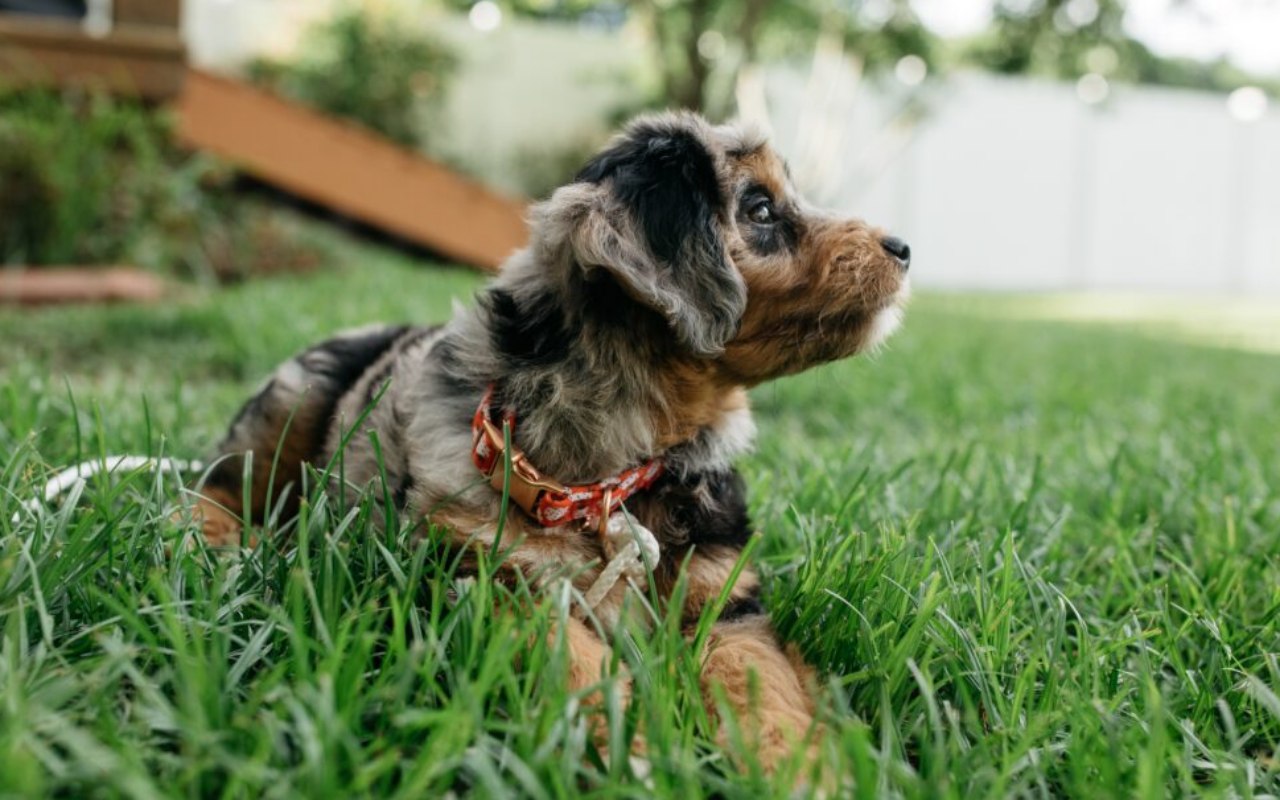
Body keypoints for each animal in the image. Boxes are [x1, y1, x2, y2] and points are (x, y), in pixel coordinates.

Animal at [186, 110, 911, 773]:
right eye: (760, 207)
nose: (903, 248)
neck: (620, 476)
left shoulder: (728, 599)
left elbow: (759, 679)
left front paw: (798, 772)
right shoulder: (491, 577)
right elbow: (576, 662)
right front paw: (635, 756)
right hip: (295, 401)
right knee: (216, 482)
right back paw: (224, 543)